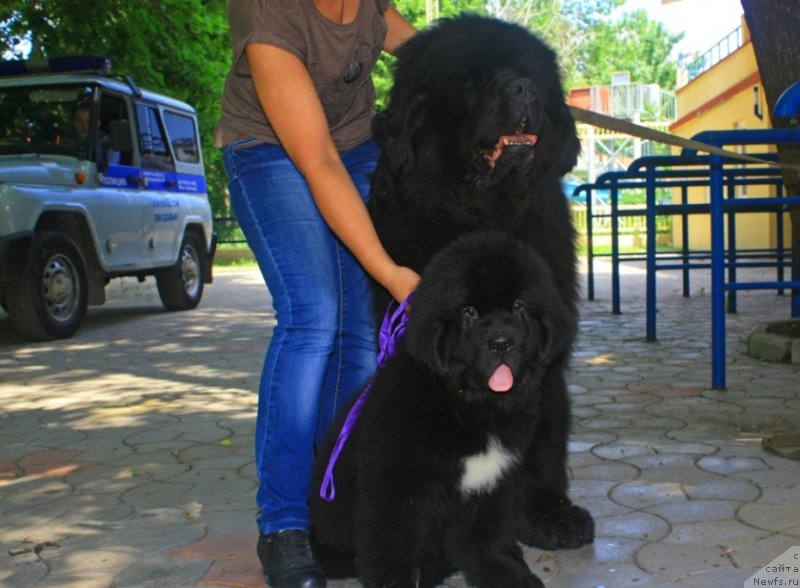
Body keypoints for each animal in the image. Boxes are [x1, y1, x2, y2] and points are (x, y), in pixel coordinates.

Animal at [310, 232, 580, 584]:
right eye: (470, 312)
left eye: (518, 307)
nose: (502, 343)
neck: (468, 404)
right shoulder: (395, 489)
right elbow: (390, 550)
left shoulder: (491, 485)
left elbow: (487, 541)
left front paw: (506, 574)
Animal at [368, 14, 592, 552]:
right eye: (474, 83)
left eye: (533, 75)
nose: (524, 89)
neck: (486, 210)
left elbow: (543, 438)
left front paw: (545, 513)